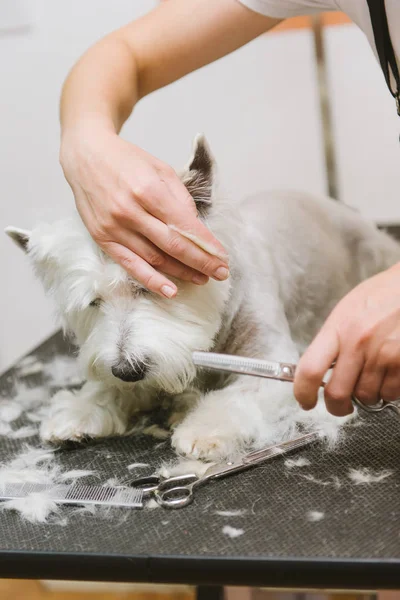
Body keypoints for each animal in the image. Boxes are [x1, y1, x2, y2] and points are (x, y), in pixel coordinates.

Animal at [5, 136, 400, 462]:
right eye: (94, 303)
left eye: (150, 287)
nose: (127, 370)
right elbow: (108, 387)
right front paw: (79, 410)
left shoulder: (273, 357)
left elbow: (239, 393)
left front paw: (202, 430)